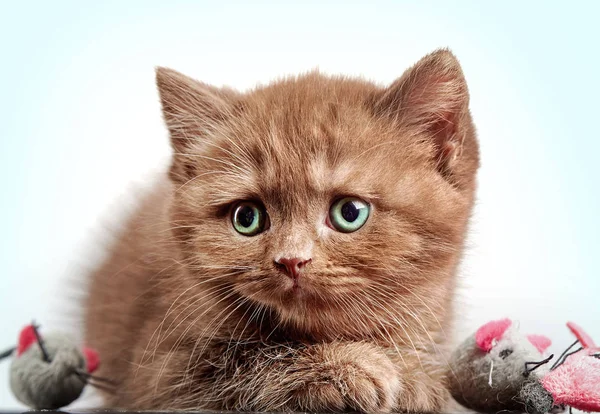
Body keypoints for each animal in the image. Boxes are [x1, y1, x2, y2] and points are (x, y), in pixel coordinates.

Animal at [84, 48, 480, 410]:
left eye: (349, 213)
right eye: (246, 217)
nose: (292, 260)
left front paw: (415, 377)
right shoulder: (160, 372)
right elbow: (248, 360)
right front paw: (352, 367)